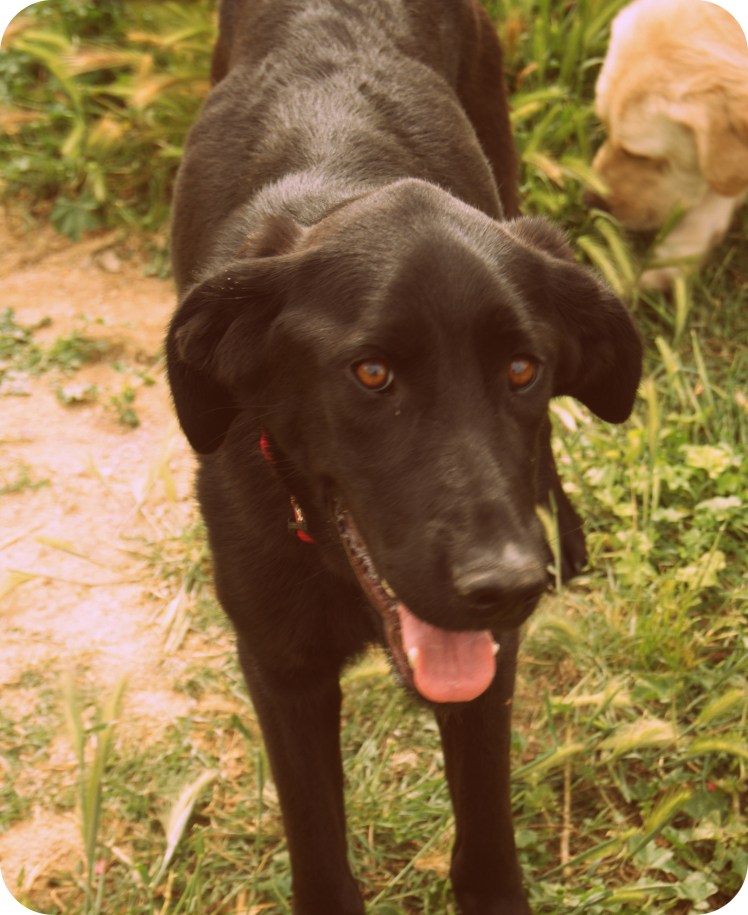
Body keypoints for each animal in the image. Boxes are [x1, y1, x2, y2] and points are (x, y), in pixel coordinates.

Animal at [166, 1, 642, 912]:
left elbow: (486, 846)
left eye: (523, 370)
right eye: (372, 373)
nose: (509, 583)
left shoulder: (491, 666)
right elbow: (320, 853)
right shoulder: (280, 667)